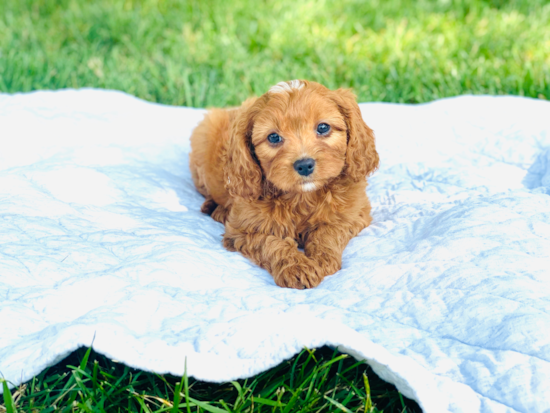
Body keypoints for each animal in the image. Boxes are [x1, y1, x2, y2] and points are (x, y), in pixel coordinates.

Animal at [190, 79, 380, 288]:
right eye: (273, 137)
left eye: (323, 127)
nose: (304, 165)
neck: (303, 197)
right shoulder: (242, 231)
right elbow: (272, 243)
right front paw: (297, 267)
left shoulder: (354, 213)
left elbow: (329, 231)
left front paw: (322, 259)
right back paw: (216, 210)